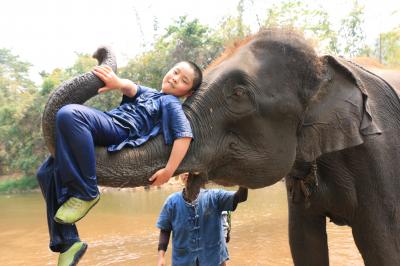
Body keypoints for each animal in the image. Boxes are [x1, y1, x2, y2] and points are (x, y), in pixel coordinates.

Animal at [41, 30, 400, 264]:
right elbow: (303, 243)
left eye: (239, 94)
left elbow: (382, 247)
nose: (97, 53)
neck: (323, 64)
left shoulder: (378, 155)